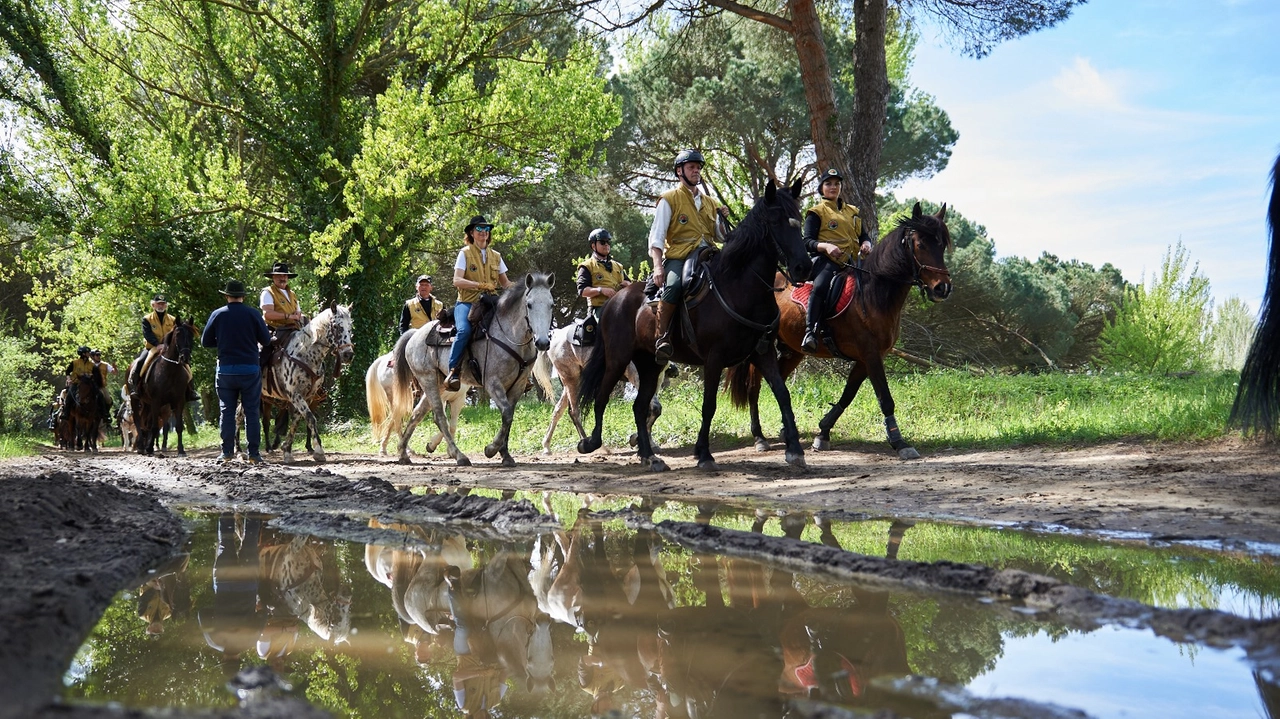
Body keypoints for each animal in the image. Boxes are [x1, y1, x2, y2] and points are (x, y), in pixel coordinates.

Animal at [132, 317, 194, 452]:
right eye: (178, 334)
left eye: (191, 334)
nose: (185, 358)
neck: (170, 370)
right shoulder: (156, 401)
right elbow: (155, 427)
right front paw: (149, 449)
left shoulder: (178, 401)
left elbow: (178, 426)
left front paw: (181, 450)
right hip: (136, 401)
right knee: (138, 421)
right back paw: (141, 447)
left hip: (148, 404)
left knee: (147, 423)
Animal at [258, 300, 353, 458]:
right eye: (336, 326)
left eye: (350, 328)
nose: (348, 355)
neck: (306, 354)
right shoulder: (295, 394)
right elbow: (310, 418)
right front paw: (318, 449)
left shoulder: (308, 396)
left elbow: (298, 420)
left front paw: (287, 448)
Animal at [386, 271, 552, 468]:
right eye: (529, 304)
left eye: (551, 304)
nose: (543, 342)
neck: (508, 334)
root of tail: (414, 334)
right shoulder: (492, 383)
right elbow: (506, 413)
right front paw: (491, 449)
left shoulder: (517, 386)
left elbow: (509, 416)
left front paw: (505, 455)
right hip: (428, 379)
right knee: (439, 416)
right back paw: (459, 456)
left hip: (438, 383)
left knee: (417, 414)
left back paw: (403, 453)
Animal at [578, 179, 808, 470]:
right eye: (776, 221)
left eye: (799, 219)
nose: (803, 267)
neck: (738, 288)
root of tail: (614, 299)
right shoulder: (714, 359)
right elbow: (709, 405)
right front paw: (704, 454)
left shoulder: (762, 353)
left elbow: (782, 393)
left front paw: (795, 449)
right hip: (618, 358)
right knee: (601, 397)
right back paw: (591, 443)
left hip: (651, 364)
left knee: (640, 407)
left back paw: (649, 456)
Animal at [732, 203, 952, 458]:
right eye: (920, 245)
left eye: (942, 245)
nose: (943, 288)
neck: (872, 294)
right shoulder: (870, 354)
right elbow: (885, 398)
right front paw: (900, 442)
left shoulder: (868, 358)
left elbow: (848, 394)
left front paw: (823, 433)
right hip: (761, 347)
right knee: (754, 385)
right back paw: (759, 437)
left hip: (792, 351)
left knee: (777, 381)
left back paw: (785, 430)